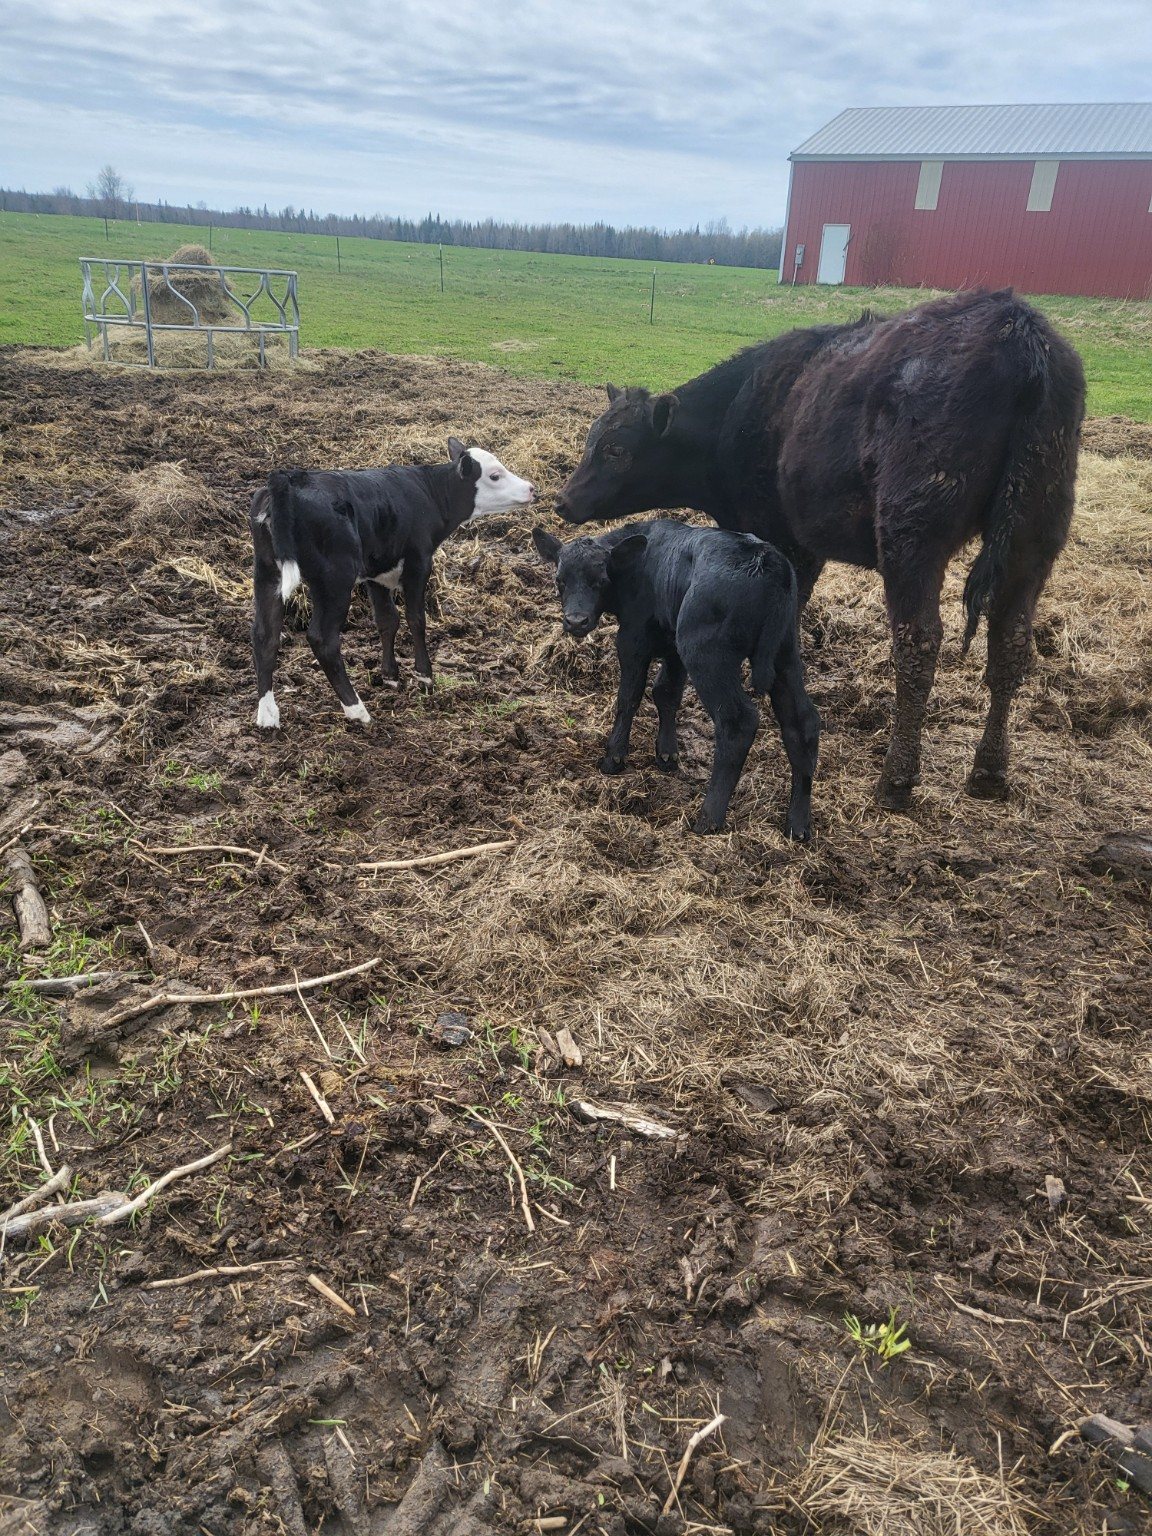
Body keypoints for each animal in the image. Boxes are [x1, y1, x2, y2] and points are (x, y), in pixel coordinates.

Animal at [249, 439, 535, 728]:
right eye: (494, 476)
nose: (531, 489)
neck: (429, 493)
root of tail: (288, 479)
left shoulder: (377, 571)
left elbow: (387, 620)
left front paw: (390, 676)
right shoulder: (419, 563)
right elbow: (415, 618)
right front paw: (424, 675)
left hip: (267, 572)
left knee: (265, 635)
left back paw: (267, 715)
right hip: (335, 579)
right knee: (322, 639)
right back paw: (357, 709)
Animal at [532, 520, 820, 838]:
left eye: (601, 580)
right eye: (560, 580)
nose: (576, 621)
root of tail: (767, 560)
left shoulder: (633, 638)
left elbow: (629, 696)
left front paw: (614, 758)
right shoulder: (673, 646)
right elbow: (666, 692)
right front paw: (667, 755)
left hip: (706, 653)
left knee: (738, 722)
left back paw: (708, 819)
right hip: (784, 652)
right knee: (802, 721)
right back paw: (797, 823)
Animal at [554, 289, 1085, 810]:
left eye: (616, 450)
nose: (563, 500)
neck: (736, 415)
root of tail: (1018, 329)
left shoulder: (781, 537)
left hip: (913, 536)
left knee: (919, 642)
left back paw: (896, 780)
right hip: (1035, 536)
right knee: (1010, 643)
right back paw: (989, 773)